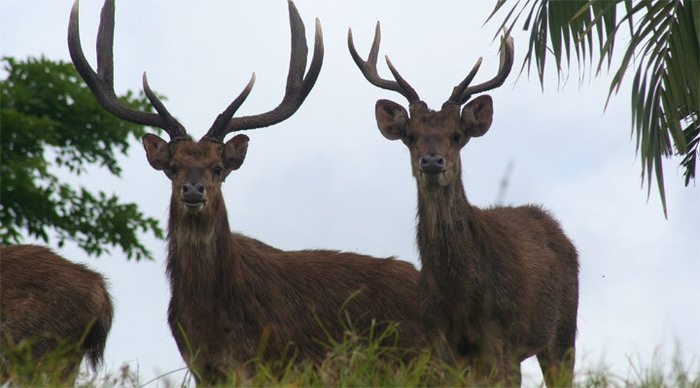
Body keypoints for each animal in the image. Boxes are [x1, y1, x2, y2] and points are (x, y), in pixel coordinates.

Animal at [68, 0, 424, 382]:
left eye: (218, 168)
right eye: (173, 167)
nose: (193, 190)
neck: (214, 322)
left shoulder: (271, 360)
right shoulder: (199, 364)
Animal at [348, 23, 580, 384]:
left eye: (457, 135)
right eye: (411, 136)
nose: (432, 161)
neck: (460, 298)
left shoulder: (503, 336)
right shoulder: (440, 341)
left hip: (563, 328)